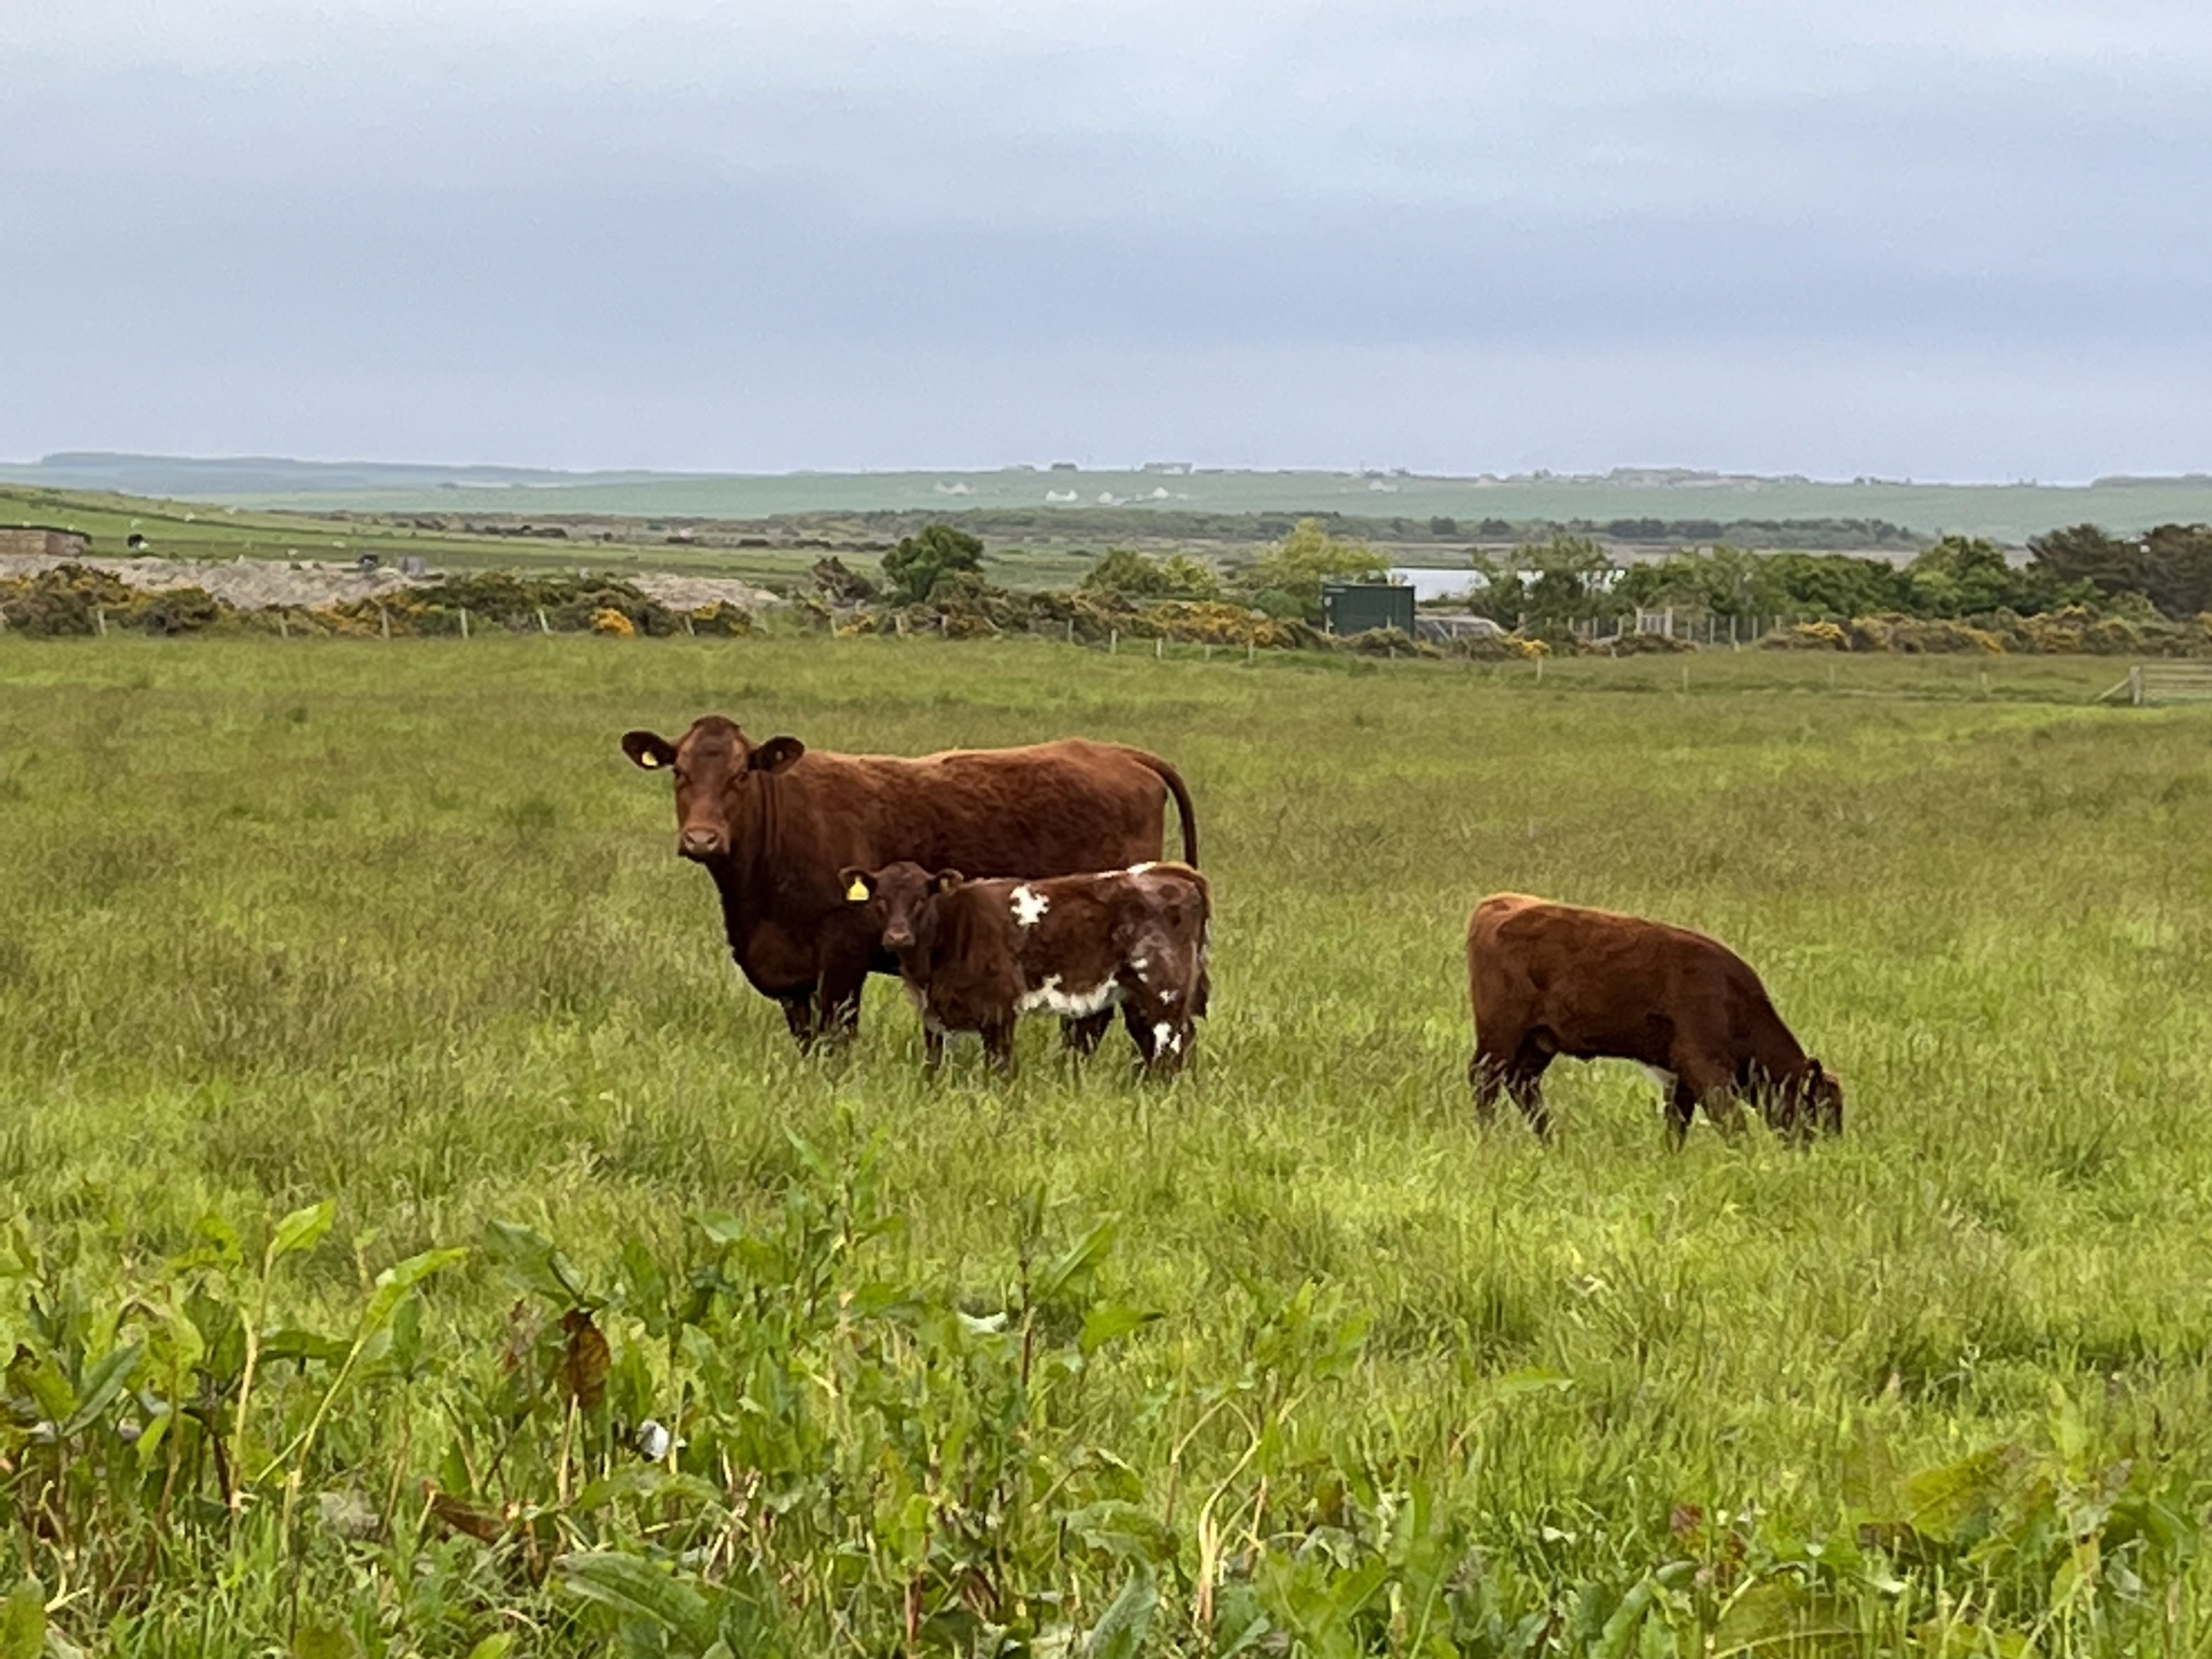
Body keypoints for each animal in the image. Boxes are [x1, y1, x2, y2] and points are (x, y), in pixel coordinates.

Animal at [620, 717, 1199, 1047]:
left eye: (742, 774)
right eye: (679, 773)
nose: (702, 839)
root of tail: (1118, 753)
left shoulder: (843, 952)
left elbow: (837, 1034)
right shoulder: (789, 973)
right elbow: (805, 1036)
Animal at [839, 859, 1210, 1075]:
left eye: (920, 899)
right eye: (881, 899)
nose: (897, 937)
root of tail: (1168, 872)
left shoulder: (998, 1010)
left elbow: (999, 1067)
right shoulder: (934, 1016)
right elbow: (933, 1065)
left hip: (1164, 994)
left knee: (1173, 1046)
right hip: (1137, 997)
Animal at [1465, 893, 1842, 1146]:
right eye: (1819, 1106)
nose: (1829, 1149)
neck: (1736, 1002)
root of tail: (1497, 904)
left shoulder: (1682, 1077)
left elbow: (1678, 1124)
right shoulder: (1704, 1066)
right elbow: (1730, 1120)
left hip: (1538, 1042)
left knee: (1521, 1083)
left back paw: (1552, 1143)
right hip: (1501, 1037)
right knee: (1486, 1081)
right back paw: (1489, 1142)